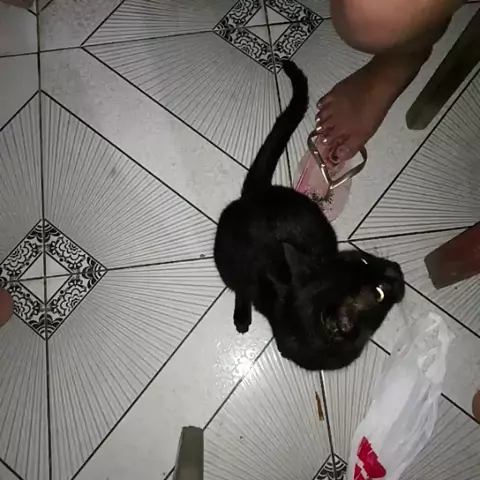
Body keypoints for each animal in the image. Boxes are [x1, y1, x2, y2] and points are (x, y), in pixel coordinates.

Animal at [214, 60, 405, 371]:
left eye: (363, 259)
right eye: (379, 293)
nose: (396, 270)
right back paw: (242, 316)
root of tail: (258, 194)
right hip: (229, 264)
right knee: (239, 287)